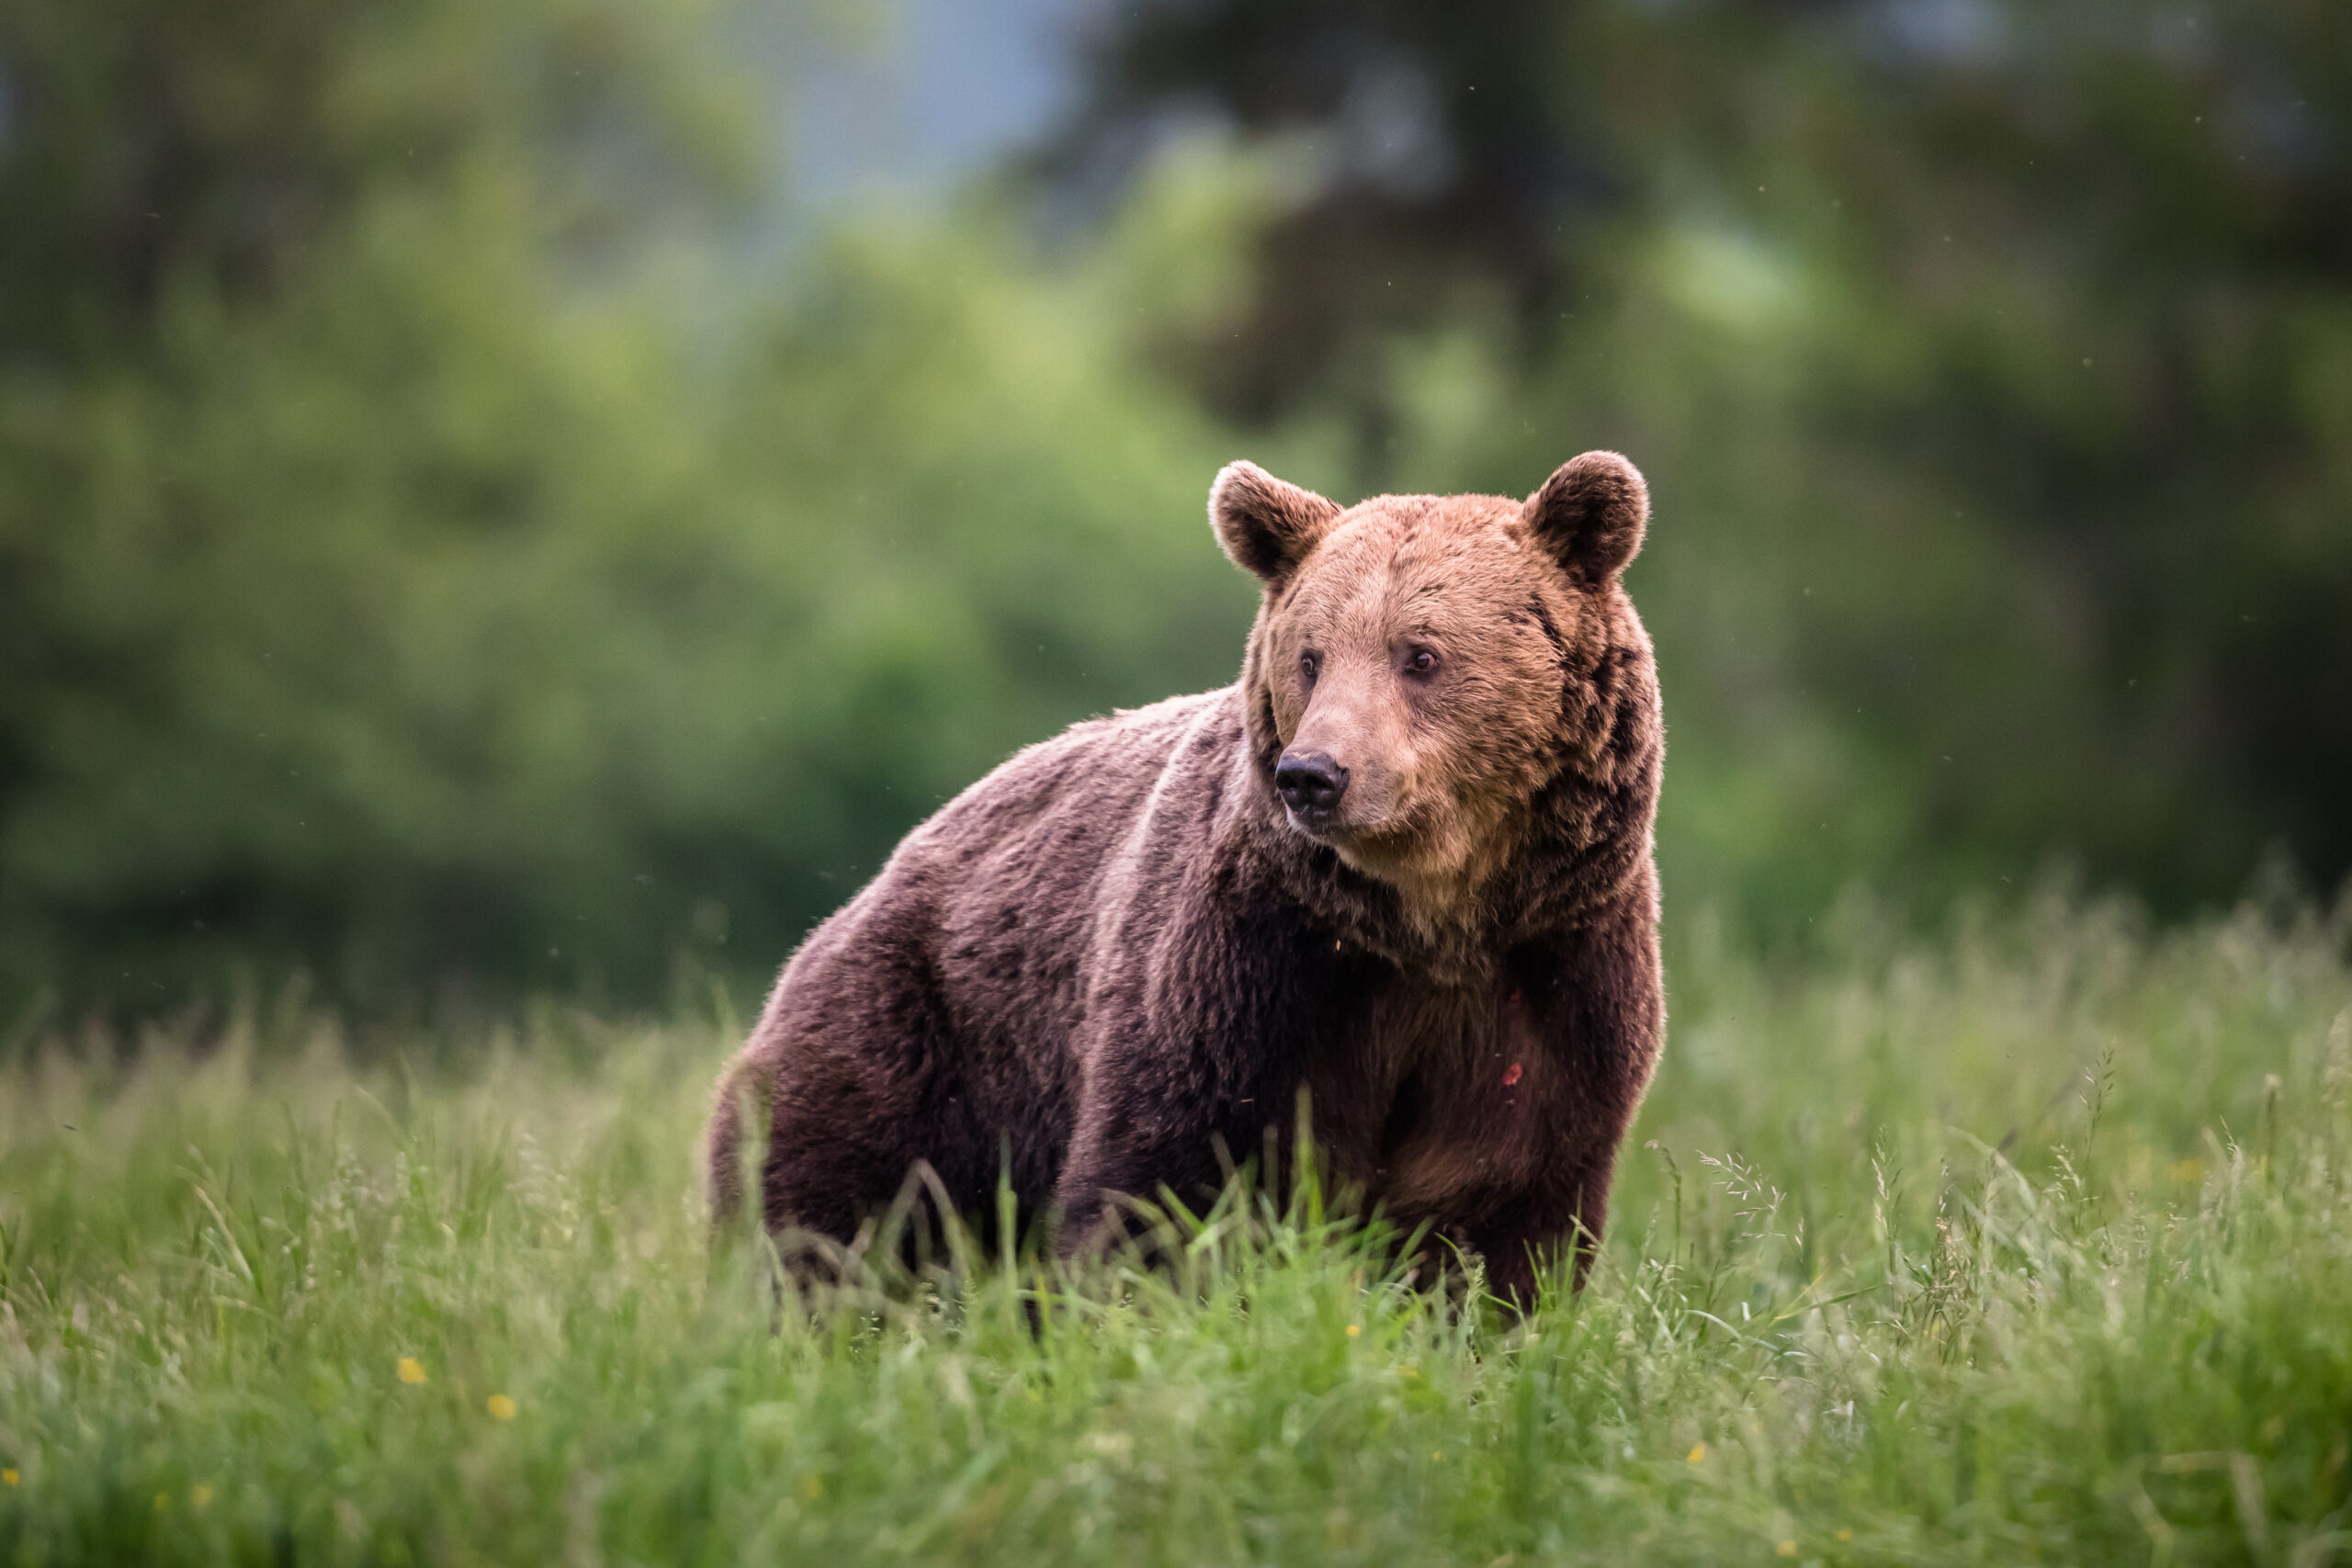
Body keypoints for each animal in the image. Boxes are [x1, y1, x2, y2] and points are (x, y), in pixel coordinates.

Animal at [706, 451, 1665, 1297]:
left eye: (1419, 653)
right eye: (1311, 655)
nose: (1314, 773)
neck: (1427, 924)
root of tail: (866, 890)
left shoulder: (1549, 988)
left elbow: (1497, 1221)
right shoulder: (1249, 975)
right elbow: (1164, 1182)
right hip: (917, 1040)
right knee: (831, 1215)